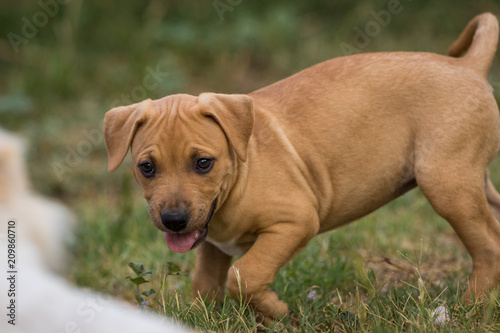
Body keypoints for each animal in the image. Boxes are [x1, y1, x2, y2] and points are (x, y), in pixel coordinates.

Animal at [103, 13, 500, 322]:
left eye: (203, 163)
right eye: (147, 167)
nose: (173, 221)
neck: (241, 175)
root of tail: (467, 65)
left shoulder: (295, 222)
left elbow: (245, 275)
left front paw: (275, 311)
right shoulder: (212, 245)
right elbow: (205, 284)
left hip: (446, 184)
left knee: (488, 247)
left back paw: (469, 308)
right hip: (473, 182)